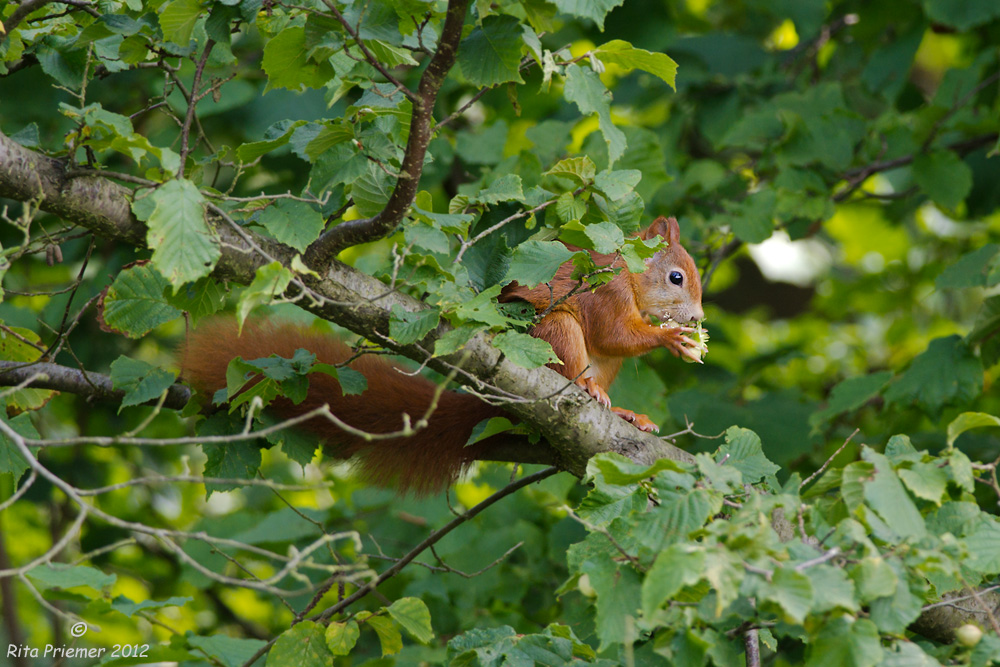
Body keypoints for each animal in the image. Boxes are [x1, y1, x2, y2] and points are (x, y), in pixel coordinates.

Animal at [186, 217, 704, 494]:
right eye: (676, 277)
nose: (698, 317)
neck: (631, 274)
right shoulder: (603, 290)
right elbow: (614, 332)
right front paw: (672, 338)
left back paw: (625, 414)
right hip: (555, 332)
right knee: (570, 362)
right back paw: (587, 387)